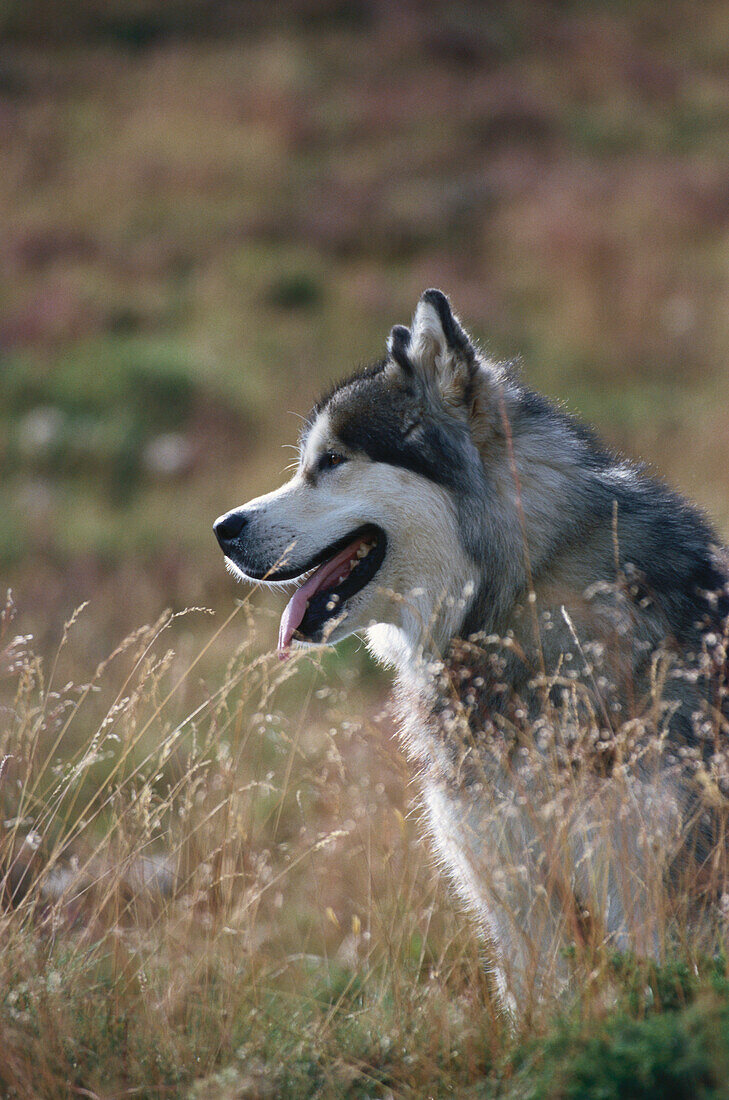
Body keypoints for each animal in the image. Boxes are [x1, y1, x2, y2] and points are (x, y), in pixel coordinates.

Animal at [215, 290, 729, 1007]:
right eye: (307, 462)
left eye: (333, 461)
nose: (222, 529)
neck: (513, 601)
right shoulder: (516, 900)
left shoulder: (650, 900)